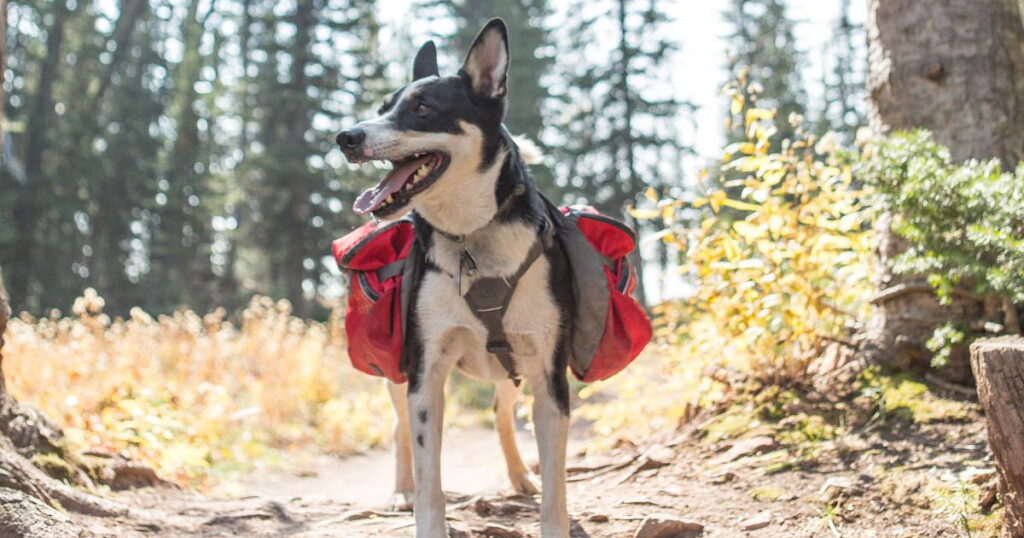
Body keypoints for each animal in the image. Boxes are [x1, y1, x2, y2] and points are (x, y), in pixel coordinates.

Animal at [337, 16, 573, 536]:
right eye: (383, 107)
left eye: (423, 109)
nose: (345, 136)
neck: (471, 235)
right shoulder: (425, 370)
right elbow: (431, 481)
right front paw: (421, 507)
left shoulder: (549, 377)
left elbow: (556, 490)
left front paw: (543, 497)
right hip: (399, 375)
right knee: (400, 429)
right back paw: (401, 489)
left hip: (513, 368)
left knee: (501, 412)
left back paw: (519, 476)